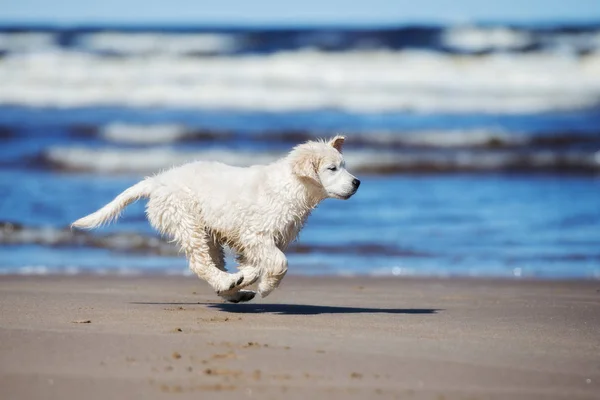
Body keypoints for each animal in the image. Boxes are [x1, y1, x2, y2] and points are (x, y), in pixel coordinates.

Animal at [72, 136, 358, 302]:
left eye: (344, 165)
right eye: (332, 169)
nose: (357, 182)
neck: (292, 186)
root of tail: (158, 181)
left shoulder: (267, 238)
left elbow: (256, 263)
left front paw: (250, 276)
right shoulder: (256, 234)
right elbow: (280, 262)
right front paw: (266, 287)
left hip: (207, 232)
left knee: (212, 261)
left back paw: (234, 290)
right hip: (187, 221)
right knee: (200, 263)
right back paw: (227, 283)